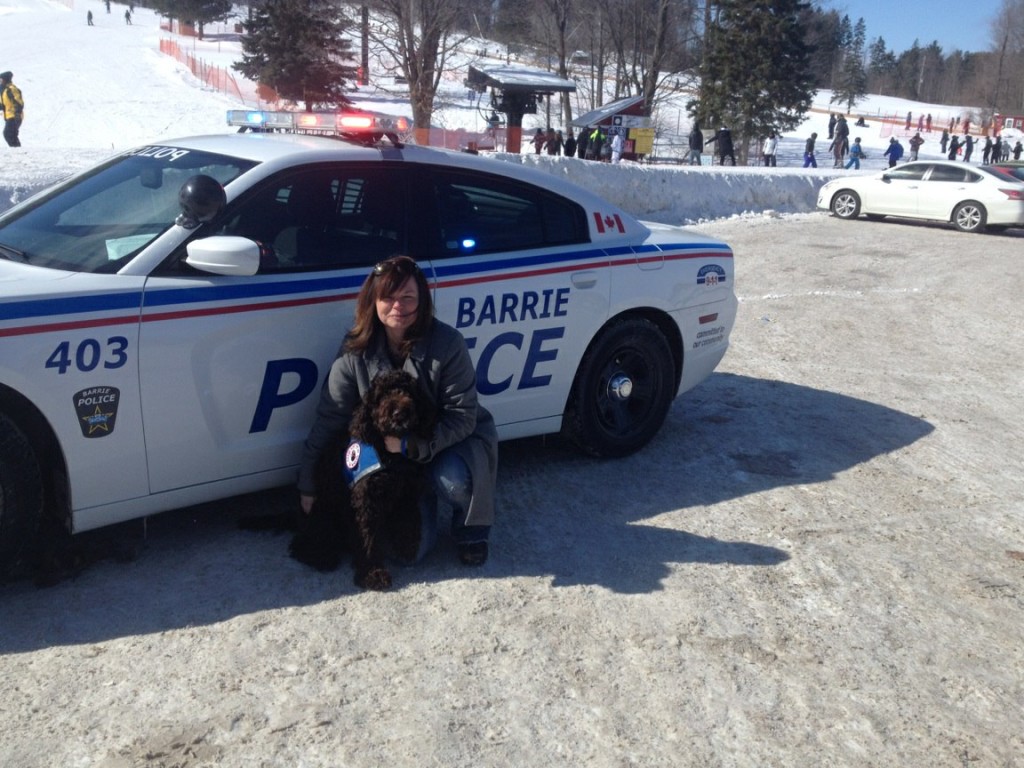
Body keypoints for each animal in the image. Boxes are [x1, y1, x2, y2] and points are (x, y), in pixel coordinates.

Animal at [286, 370, 434, 593]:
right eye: (382, 395)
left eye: (408, 392)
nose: (399, 413)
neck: (390, 455)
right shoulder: (365, 503)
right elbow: (367, 539)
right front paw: (373, 574)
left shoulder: (406, 491)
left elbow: (408, 519)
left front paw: (407, 544)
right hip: (321, 516)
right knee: (303, 544)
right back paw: (322, 557)